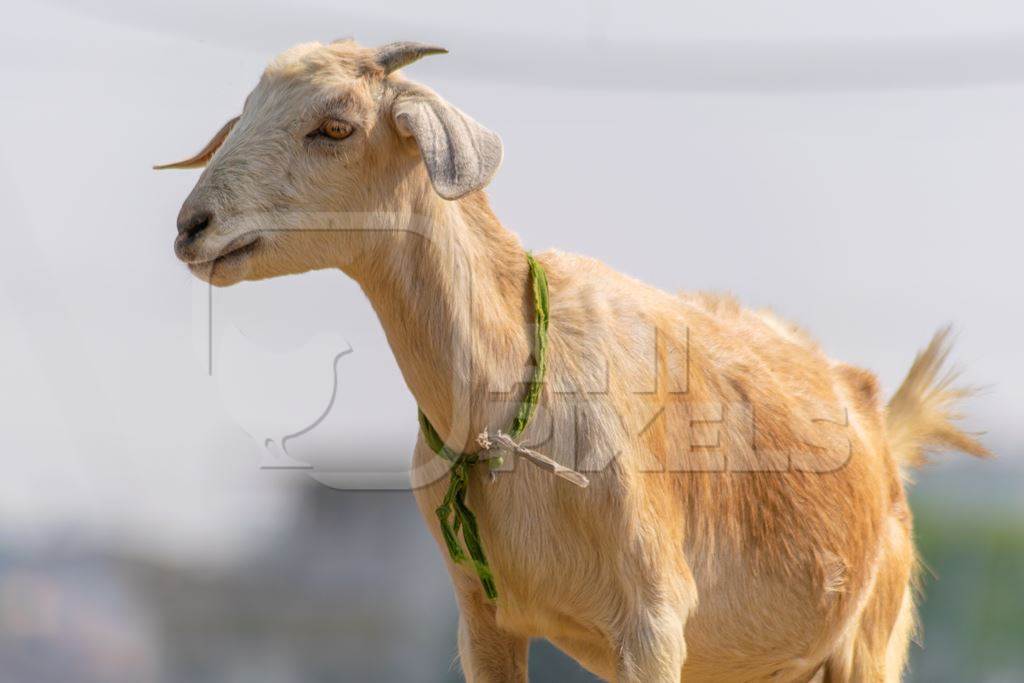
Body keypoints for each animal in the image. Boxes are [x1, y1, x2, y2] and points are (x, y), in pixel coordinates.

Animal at [155, 40, 987, 679]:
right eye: (246, 114)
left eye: (336, 126)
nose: (194, 225)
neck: (509, 394)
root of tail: (883, 420)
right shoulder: (484, 619)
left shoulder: (653, 620)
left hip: (868, 637)